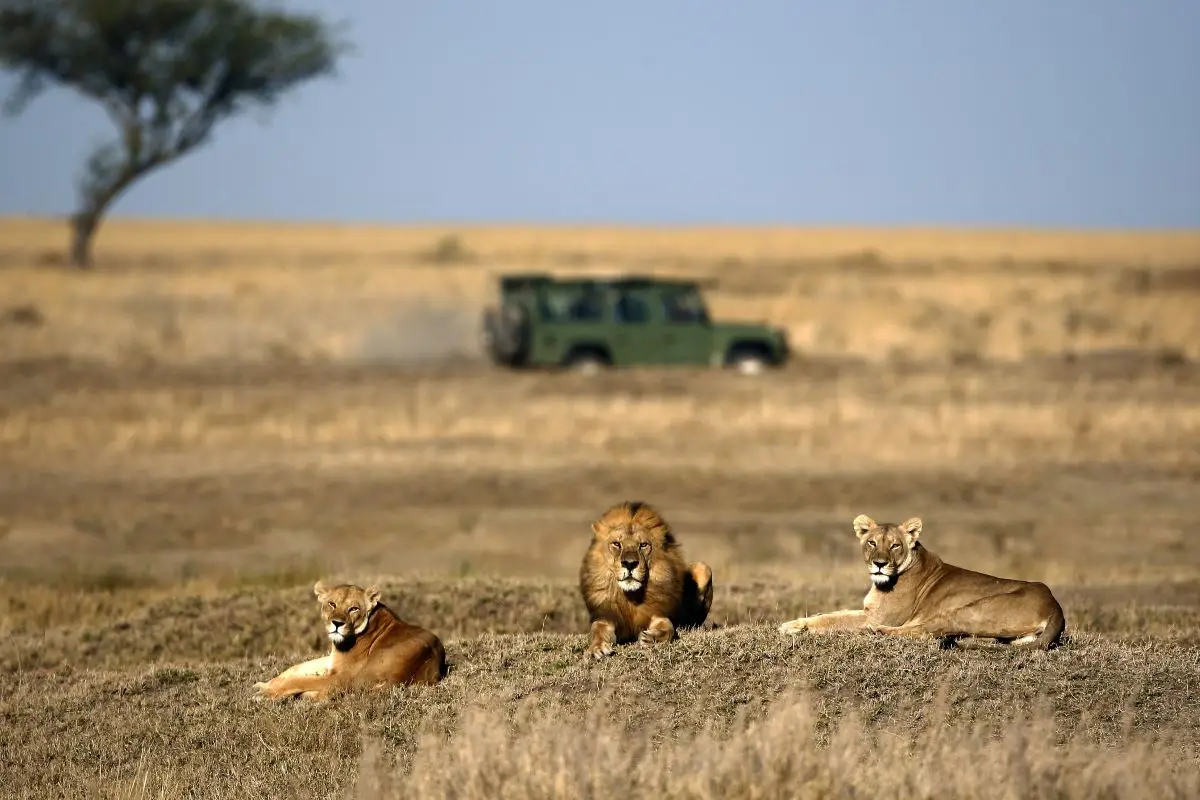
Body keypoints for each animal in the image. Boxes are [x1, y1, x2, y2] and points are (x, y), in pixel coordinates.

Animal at [253, 578, 446, 705]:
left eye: (354, 609)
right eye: (332, 604)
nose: (337, 623)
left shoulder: (340, 674)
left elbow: (300, 679)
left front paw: (265, 693)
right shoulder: (332, 661)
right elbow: (296, 668)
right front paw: (264, 684)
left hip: (353, 677)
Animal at [578, 501, 710, 662]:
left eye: (643, 545)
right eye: (617, 544)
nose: (629, 563)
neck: (630, 597)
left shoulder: (658, 613)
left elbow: (668, 628)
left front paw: (650, 638)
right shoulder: (606, 616)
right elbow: (596, 630)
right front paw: (596, 648)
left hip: (703, 568)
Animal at [782, 513, 1065, 652]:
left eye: (895, 545)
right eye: (872, 542)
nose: (879, 564)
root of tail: (1055, 606)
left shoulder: (878, 616)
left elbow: (834, 621)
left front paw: (795, 628)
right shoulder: (868, 610)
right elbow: (830, 613)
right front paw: (794, 624)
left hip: (968, 610)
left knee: (926, 631)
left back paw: (876, 632)